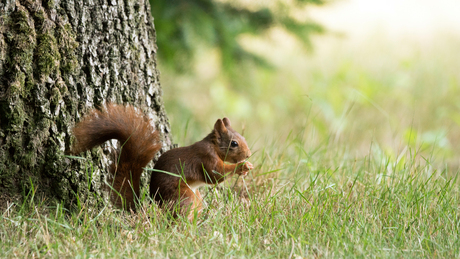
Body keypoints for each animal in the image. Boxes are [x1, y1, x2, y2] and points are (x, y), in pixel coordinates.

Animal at [72, 103, 253, 219]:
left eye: (243, 137)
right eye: (234, 143)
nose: (249, 154)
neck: (213, 146)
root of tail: (157, 204)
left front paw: (246, 168)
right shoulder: (205, 158)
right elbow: (215, 176)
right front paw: (241, 166)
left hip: (195, 198)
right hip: (184, 196)